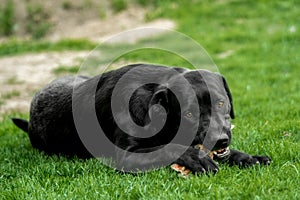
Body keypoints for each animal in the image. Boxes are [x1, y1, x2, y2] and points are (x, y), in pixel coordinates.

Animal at [12, 63, 272, 173]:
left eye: (220, 102)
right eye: (189, 113)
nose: (219, 140)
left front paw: (247, 157)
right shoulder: (127, 154)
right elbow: (168, 148)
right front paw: (195, 158)